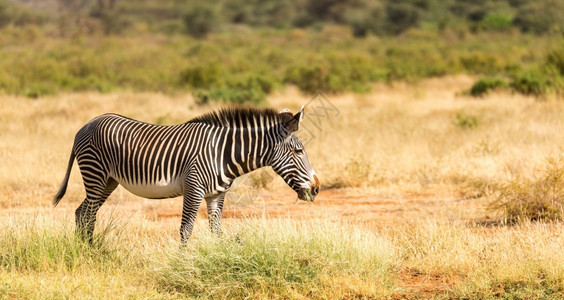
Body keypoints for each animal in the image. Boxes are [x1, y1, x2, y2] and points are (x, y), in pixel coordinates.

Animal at [54, 106, 320, 243]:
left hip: (108, 181)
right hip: (95, 174)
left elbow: (216, 229)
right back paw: (87, 251)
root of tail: (86, 125)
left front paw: (216, 261)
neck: (223, 153)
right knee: (87, 213)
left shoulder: (216, 194)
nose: (317, 188)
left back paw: (86, 250)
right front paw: (182, 263)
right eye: (298, 151)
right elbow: (186, 229)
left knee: (83, 212)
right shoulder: (194, 188)